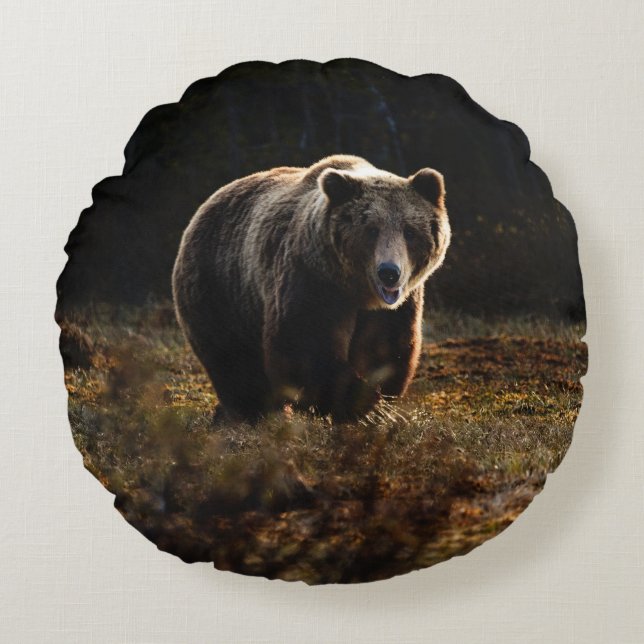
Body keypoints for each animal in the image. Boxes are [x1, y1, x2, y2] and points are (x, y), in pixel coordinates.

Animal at [172, 155, 451, 423]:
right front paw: (366, 408)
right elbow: (305, 345)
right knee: (235, 362)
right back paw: (253, 413)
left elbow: (384, 348)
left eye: (409, 231)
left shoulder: (396, 306)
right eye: (371, 230)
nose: (389, 272)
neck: (357, 290)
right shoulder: (312, 280)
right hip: (221, 289)